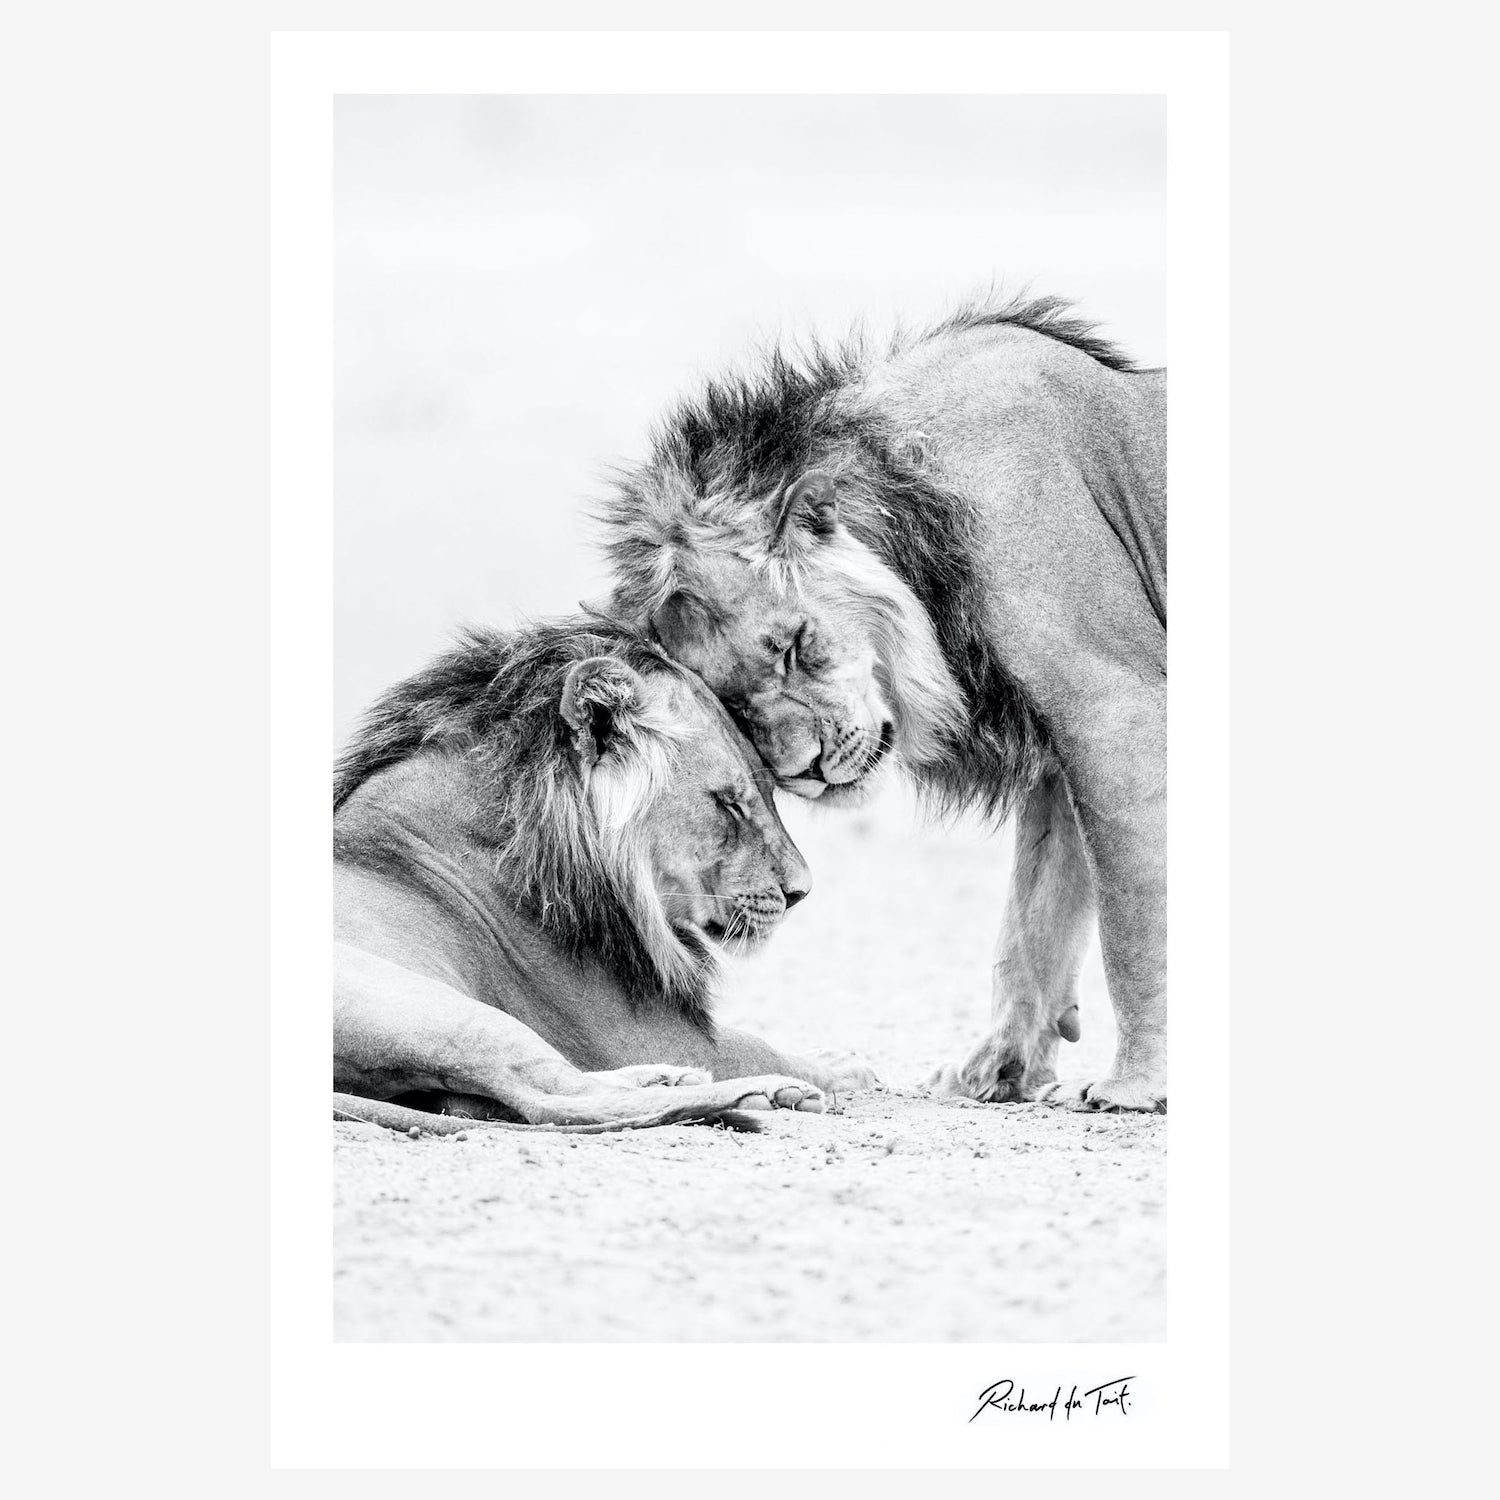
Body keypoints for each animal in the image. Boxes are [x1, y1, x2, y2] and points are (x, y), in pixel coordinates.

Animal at [333, 616, 857, 1134]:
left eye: (769, 795)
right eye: (727, 802)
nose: (800, 891)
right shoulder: (633, 1034)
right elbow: (757, 1044)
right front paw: (839, 1068)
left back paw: (667, 1078)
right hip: (449, 1014)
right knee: (553, 1100)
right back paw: (761, 1093)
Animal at [602, 294, 1166, 1112]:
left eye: (792, 645)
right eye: (731, 700)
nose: (803, 771)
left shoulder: (1115, 708)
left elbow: (1134, 922)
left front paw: (1137, 1086)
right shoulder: (1061, 749)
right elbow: (1033, 920)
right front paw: (994, 1071)